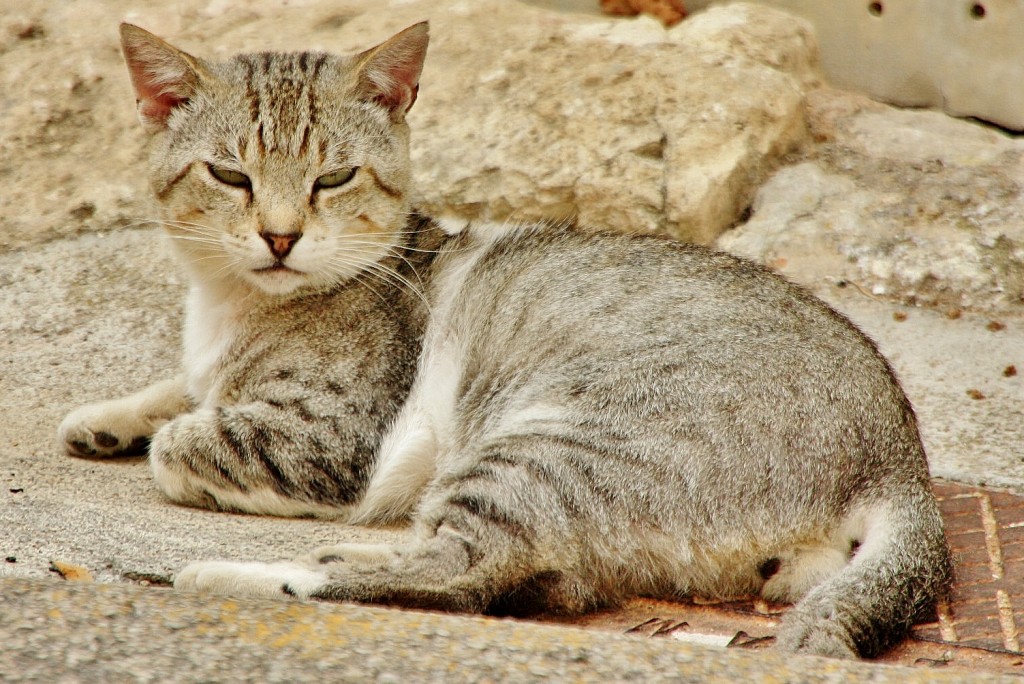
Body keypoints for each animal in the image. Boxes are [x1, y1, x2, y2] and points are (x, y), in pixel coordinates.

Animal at [56, 24, 950, 659]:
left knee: (456, 580)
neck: (230, 303)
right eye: (231, 176)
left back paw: (243, 574)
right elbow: (181, 386)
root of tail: (902, 461)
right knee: (529, 581)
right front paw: (106, 417)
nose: (280, 238)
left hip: (544, 447)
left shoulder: (328, 441)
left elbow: (182, 441)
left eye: (333, 180)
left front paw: (160, 435)